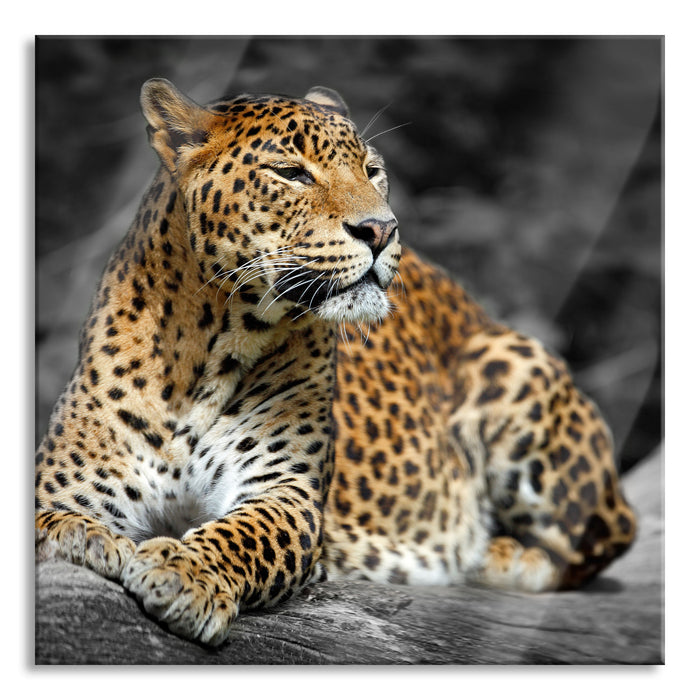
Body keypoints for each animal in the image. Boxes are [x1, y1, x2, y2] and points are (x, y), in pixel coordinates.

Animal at [35, 78, 637, 647]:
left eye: (373, 171)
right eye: (291, 173)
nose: (382, 229)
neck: (208, 348)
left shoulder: (285, 492)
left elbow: (241, 535)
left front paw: (185, 572)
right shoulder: (67, 483)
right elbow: (53, 518)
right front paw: (82, 537)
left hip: (513, 364)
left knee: (605, 535)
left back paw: (495, 555)